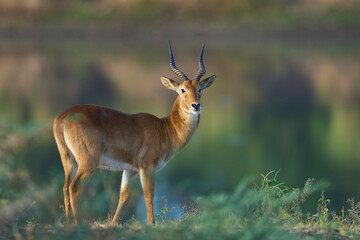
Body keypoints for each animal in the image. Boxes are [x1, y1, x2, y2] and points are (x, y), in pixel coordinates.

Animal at [52, 41, 217, 225]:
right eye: (182, 89)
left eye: (200, 89)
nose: (196, 105)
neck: (165, 129)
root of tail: (62, 118)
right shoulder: (147, 166)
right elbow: (149, 195)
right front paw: (151, 223)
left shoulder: (129, 170)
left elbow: (123, 196)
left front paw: (113, 223)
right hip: (88, 161)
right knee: (74, 187)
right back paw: (78, 223)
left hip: (68, 160)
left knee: (65, 187)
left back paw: (68, 223)